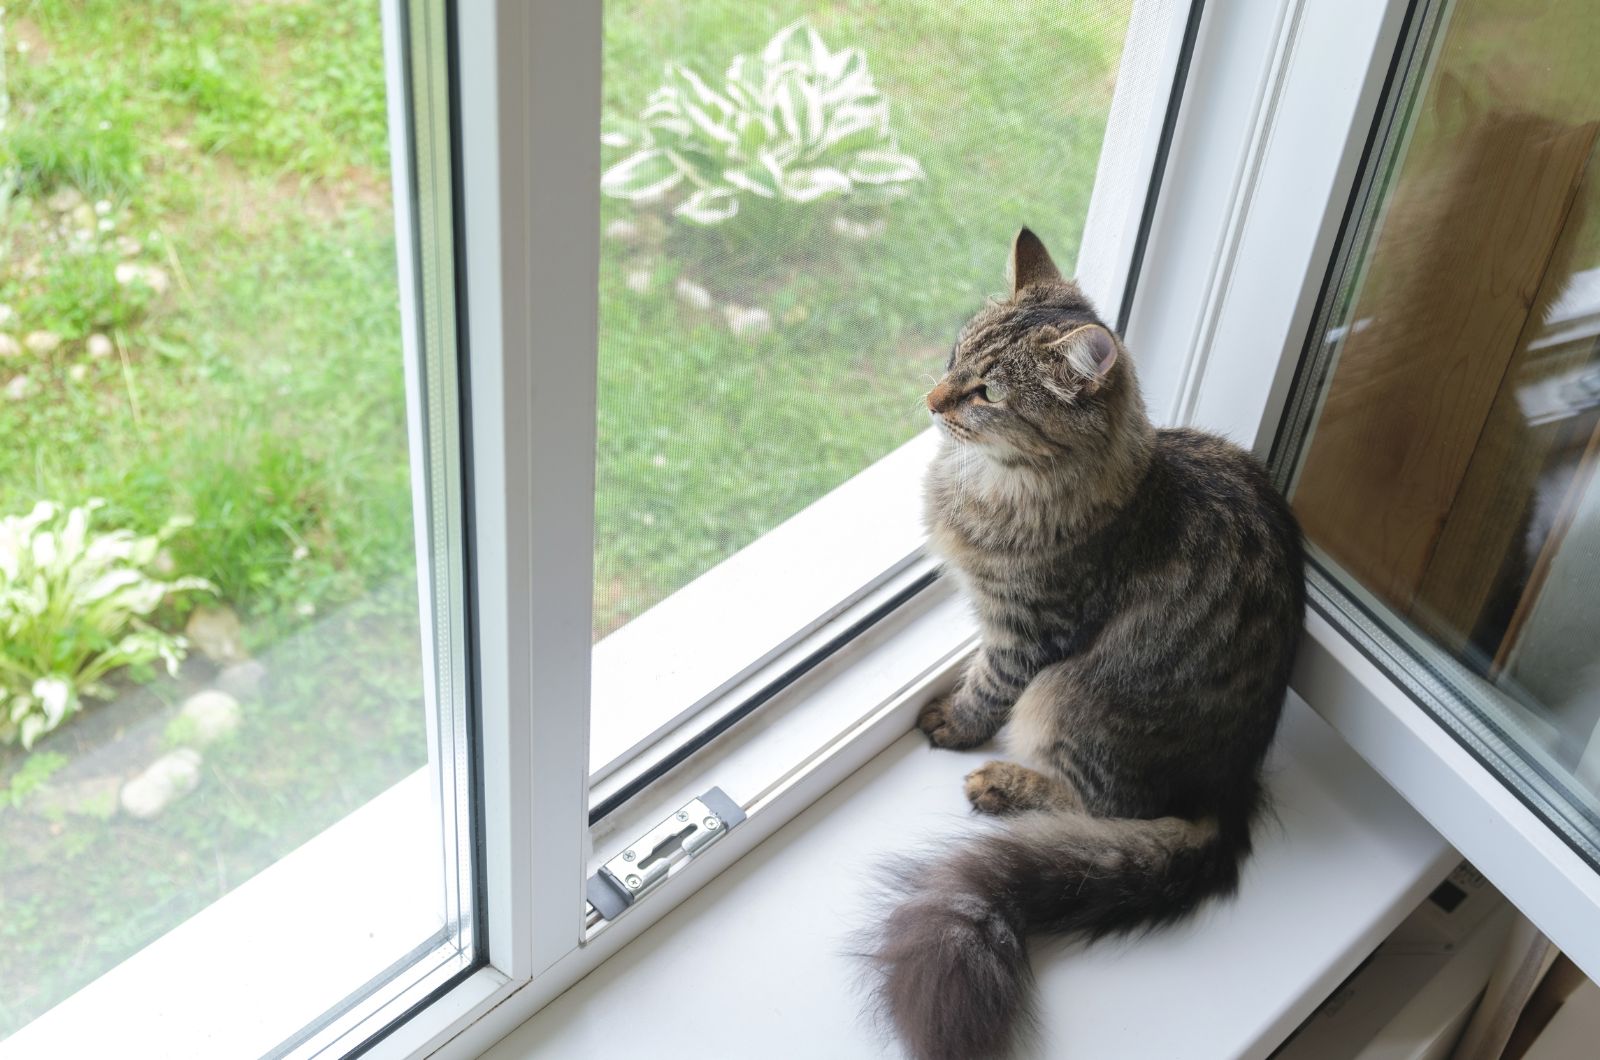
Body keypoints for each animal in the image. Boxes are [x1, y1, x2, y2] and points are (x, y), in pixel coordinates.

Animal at [870, 228, 1305, 1056]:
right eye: (955, 356)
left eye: (988, 394)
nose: (932, 400)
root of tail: (1232, 787)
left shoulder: (1031, 635)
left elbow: (987, 686)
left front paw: (957, 723)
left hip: (1066, 695)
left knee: (1098, 808)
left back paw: (1004, 784)